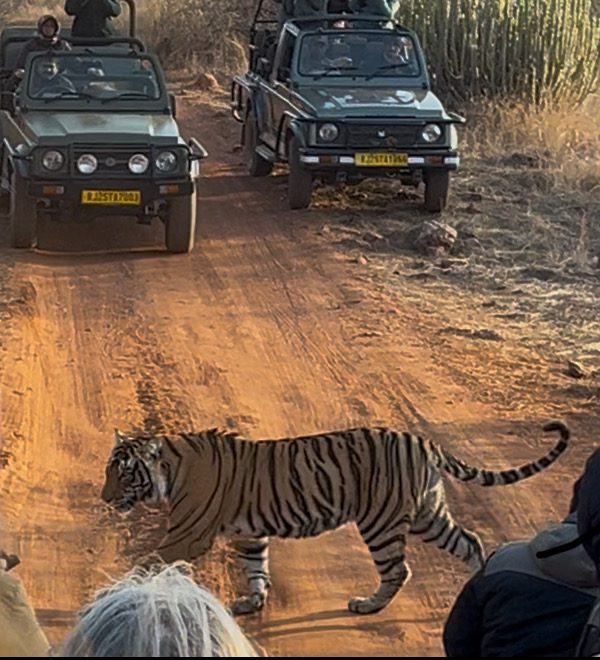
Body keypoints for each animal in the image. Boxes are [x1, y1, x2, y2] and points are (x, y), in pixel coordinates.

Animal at [101, 421, 570, 616]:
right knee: (469, 541)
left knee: (398, 570)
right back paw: (478, 582)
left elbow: (146, 562)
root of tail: (423, 441)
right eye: (109, 470)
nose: (105, 499)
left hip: (382, 522)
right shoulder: (250, 534)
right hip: (428, 513)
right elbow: (256, 569)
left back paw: (367, 605)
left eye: (123, 473)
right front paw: (254, 602)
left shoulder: (185, 534)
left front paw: (117, 593)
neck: (172, 468)